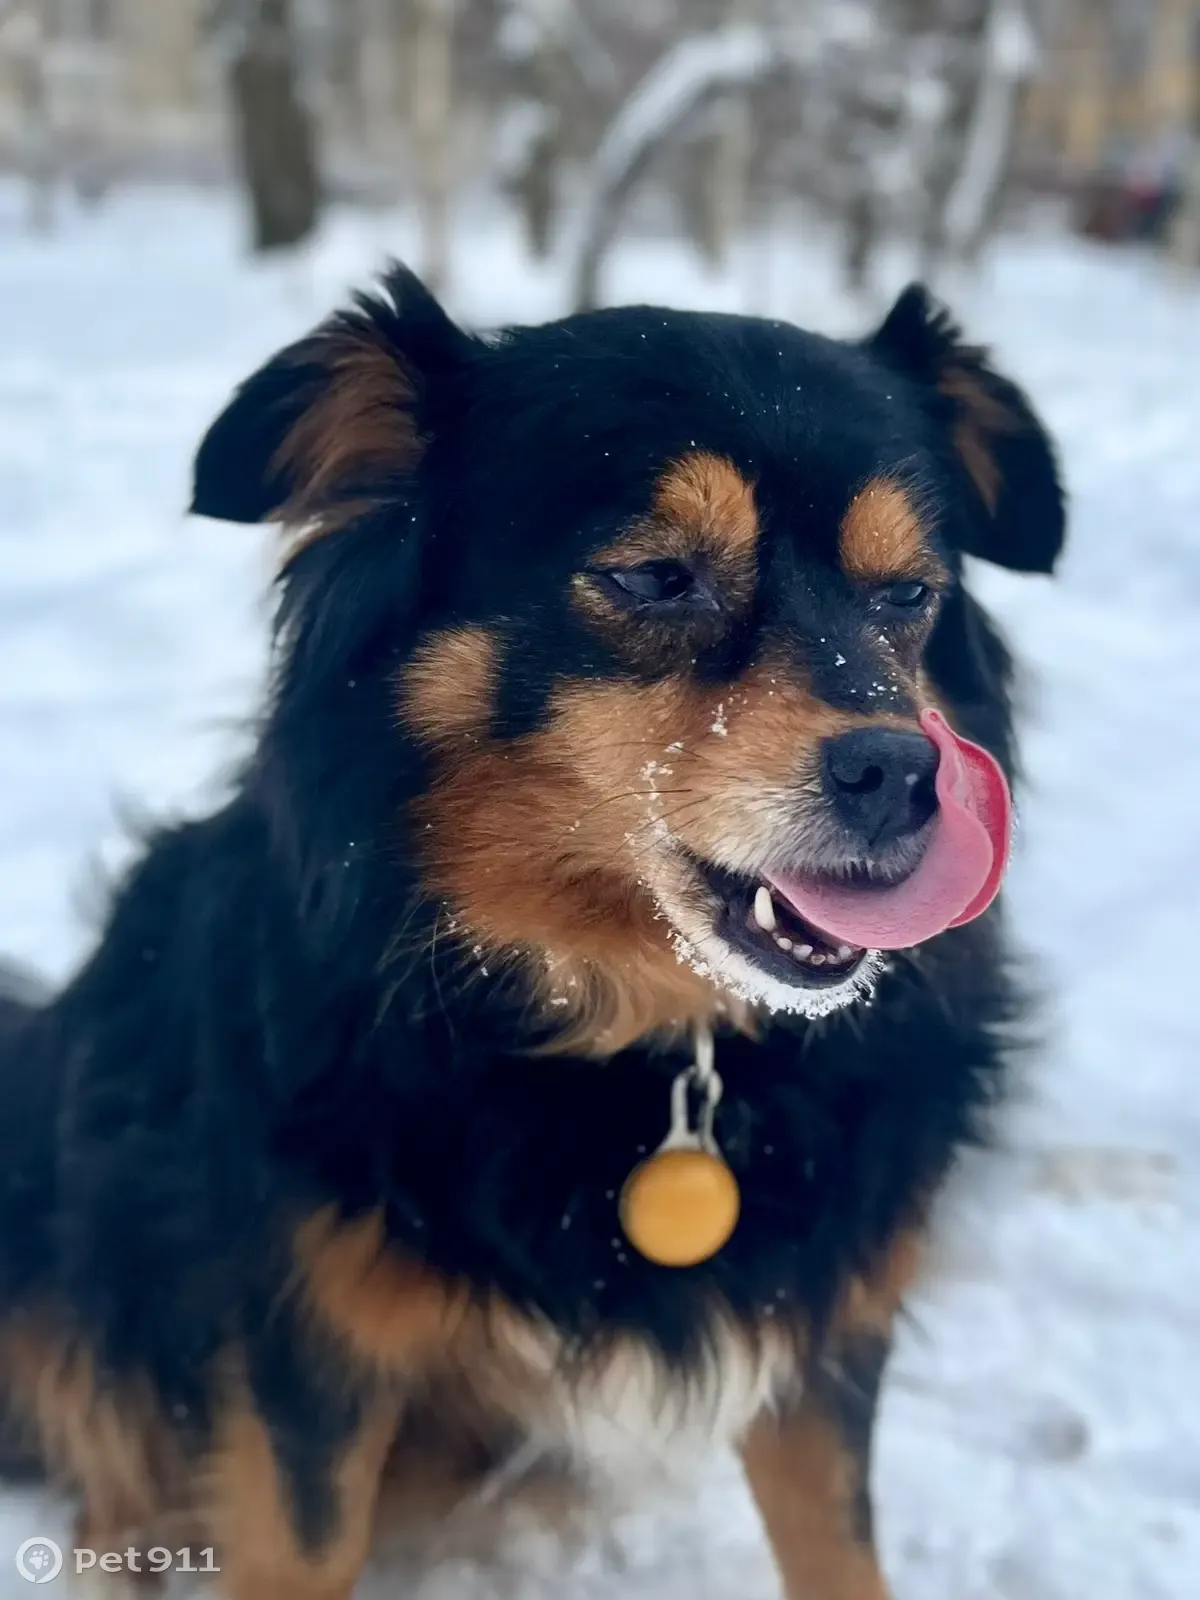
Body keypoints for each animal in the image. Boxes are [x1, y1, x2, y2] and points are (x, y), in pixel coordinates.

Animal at [0, 268, 1063, 1598]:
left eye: (909, 593)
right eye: (656, 576)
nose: (908, 777)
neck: (655, 1044)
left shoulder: (828, 1310)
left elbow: (839, 1546)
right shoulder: (305, 1347)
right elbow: (293, 1542)